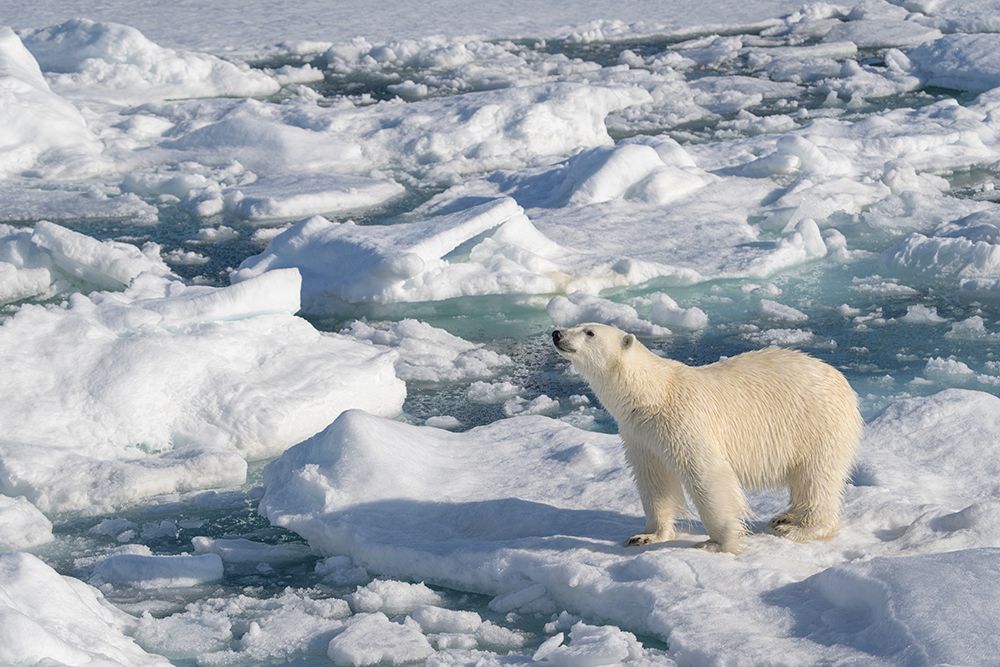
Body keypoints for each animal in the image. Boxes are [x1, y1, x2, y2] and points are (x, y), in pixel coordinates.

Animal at [552, 322, 863, 554]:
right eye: (576, 323)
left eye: (589, 332)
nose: (556, 333)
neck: (651, 394)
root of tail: (842, 381)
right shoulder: (639, 434)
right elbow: (653, 479)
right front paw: (646, 535)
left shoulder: (683, 421)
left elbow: (707, 474)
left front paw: (717, 542)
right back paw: (785, 516)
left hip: (817, 424)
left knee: (816, 476)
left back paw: (799, 528)